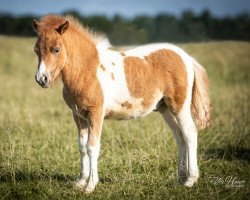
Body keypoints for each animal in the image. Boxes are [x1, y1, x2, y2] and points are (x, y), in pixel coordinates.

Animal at [32, 14, 210, 193]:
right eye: (36, 50)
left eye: (56, 49)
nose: (41, 79)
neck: (87, 71)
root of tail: (186, 57)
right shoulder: (78, 115)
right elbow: (82, 147)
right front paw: (80, 182)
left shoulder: (96, 113)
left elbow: (92, 147)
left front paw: (90, 185)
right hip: (165, 108)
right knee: (180, 136)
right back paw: (180, 178)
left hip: (180, 106)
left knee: (190, 133)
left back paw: (190, 180)